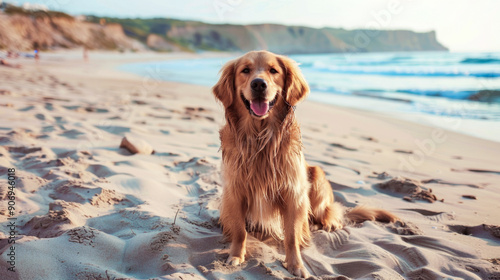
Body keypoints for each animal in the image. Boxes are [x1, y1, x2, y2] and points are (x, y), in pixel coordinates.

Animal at [212, 50, 398, 278]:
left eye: (273, 70)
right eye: (245, 70)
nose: (258, 84)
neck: (260, 138)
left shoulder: (293, 194)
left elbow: (292, 235)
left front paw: (296, 265)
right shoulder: (234, 191)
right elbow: (239, 231)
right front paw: (236, 256)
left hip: (316, 176)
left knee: (330, 215)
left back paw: (323, 225)